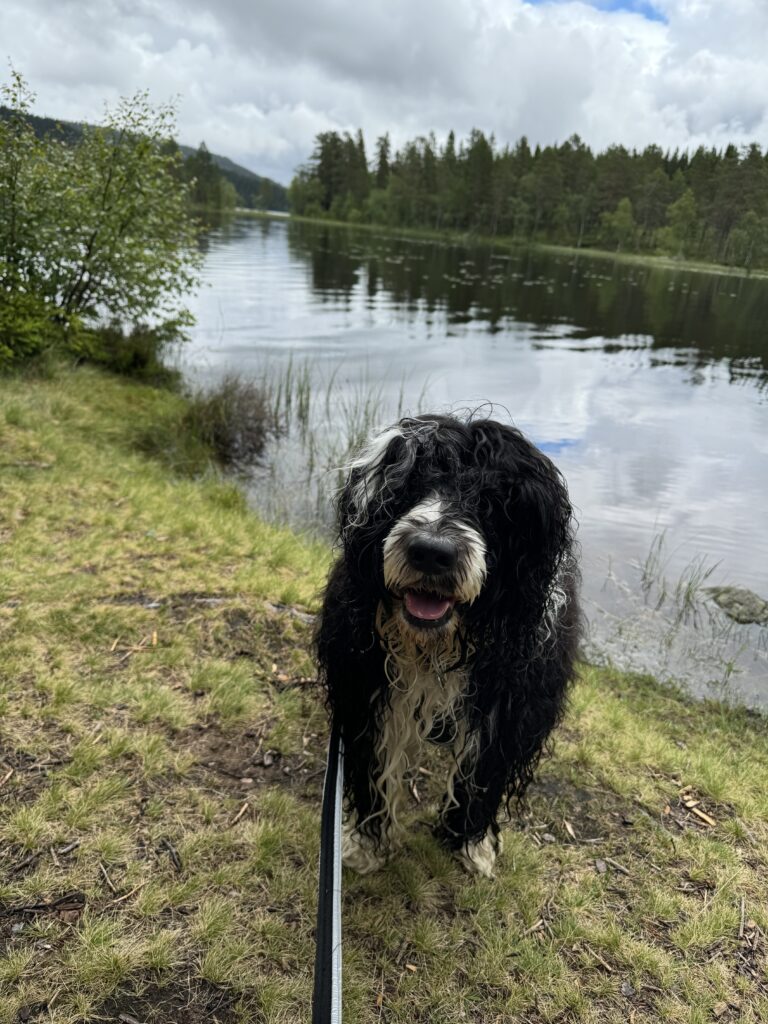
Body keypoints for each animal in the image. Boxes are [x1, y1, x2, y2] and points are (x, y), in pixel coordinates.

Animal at [315, 411, 581, 876]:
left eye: (491, 500)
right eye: (408, 487)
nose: (431, 553)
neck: (438, 645)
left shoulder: (509, 703)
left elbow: (483, 774)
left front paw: (469, 844)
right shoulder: (367, 687)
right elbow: (374, 766)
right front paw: (367, 844)